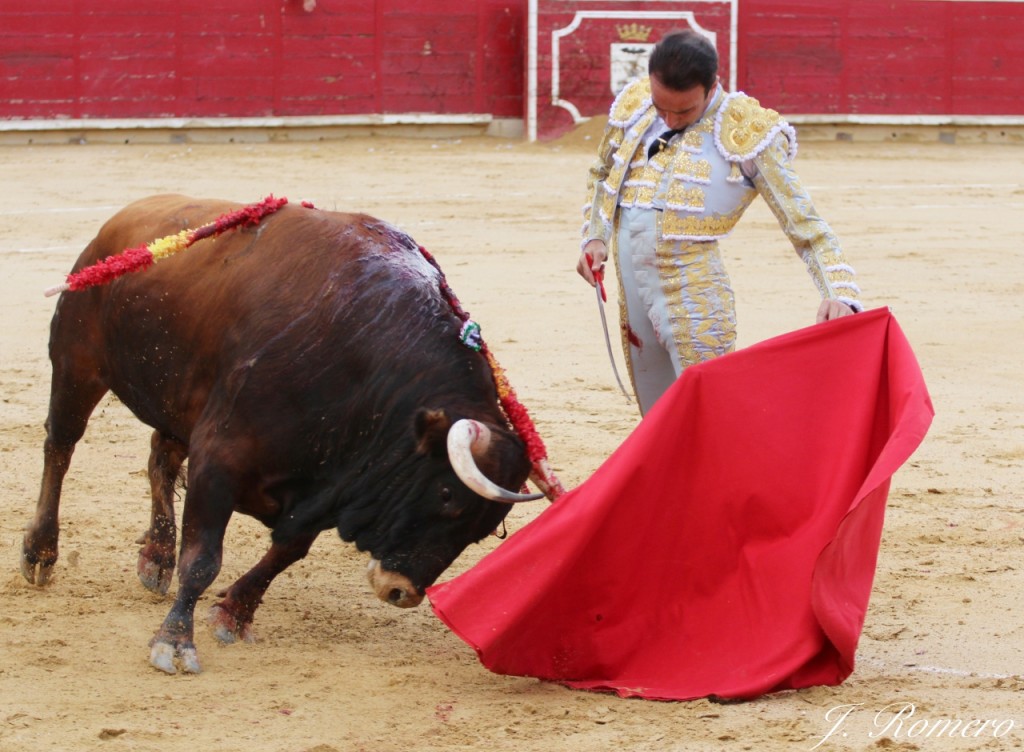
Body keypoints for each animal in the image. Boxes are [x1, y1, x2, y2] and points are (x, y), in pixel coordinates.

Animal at [19, 194, 548, 676]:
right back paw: (41, 552)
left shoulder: (328, 484)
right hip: (76, 363)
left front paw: (233, 613)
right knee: (60, 447)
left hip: (180, 404)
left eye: (481, 532)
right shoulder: (220, 457)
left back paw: (156, 557)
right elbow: (204, 558)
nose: (400, 591)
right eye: (446, 497)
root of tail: (117, 225)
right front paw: (175, 642)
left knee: (159, 460)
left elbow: (287, 550)